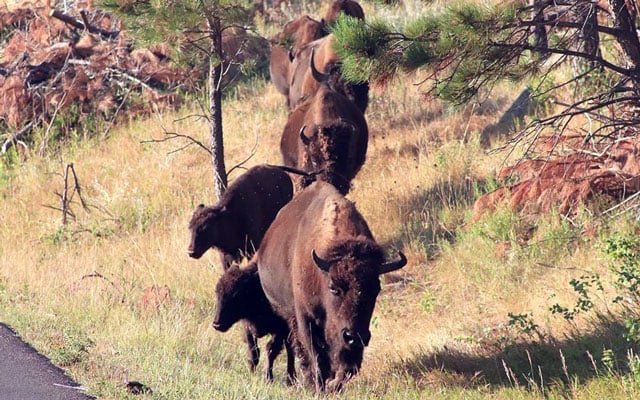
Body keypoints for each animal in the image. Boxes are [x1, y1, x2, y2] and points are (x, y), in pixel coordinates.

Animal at [256, 181, 407, 391]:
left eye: (375, 289)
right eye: (334, 287)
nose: (353, 335)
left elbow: (349, 365)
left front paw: (333, 384)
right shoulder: (306, 320)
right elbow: (317, 357)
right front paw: (321, 387)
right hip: (286, 314)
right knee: (296, 348)